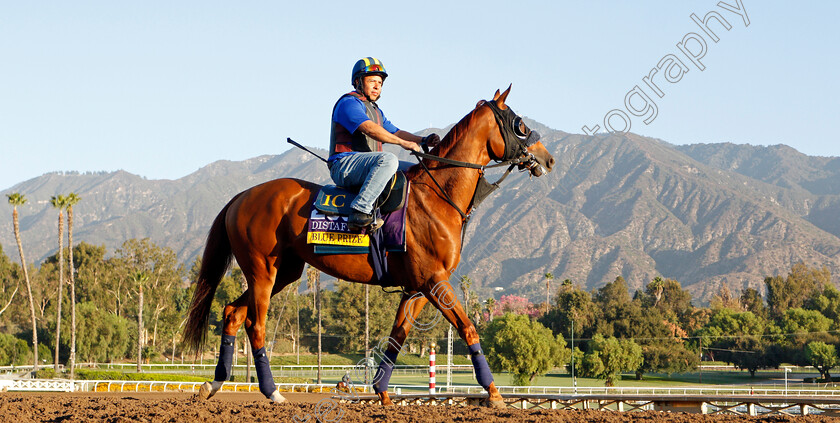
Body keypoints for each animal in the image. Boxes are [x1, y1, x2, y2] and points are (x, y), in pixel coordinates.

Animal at [181, 87, 556, 408]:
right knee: (255, 325)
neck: (436, 197)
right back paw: (272, 392)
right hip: (262, 270)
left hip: (283, 272)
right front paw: (493, 393)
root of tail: (242, 196)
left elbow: (397, 337)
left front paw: (382, 393)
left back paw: (213, 384)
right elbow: (468, 327)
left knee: (232, 313)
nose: (548, 159)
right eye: (519, 124)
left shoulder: (417, 289)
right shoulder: (435, 282)